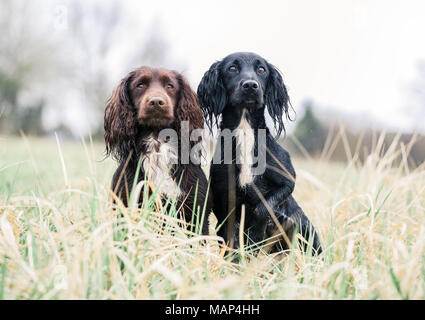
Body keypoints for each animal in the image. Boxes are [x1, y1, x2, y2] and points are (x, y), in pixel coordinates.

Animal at [197, 52, 320, 252]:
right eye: (232, 68)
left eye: (261, 70)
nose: (250, 85)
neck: (245, 133)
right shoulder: (224, 203)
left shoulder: (287, 179)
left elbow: (263, 208)